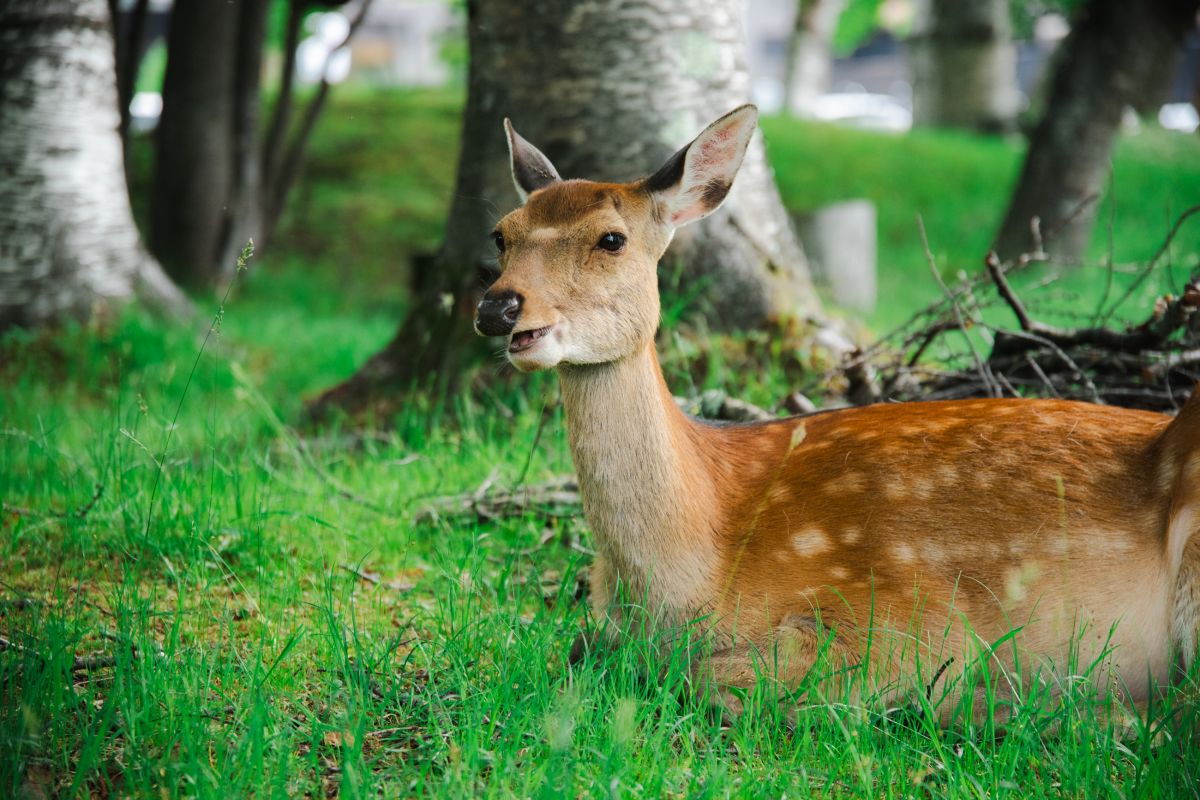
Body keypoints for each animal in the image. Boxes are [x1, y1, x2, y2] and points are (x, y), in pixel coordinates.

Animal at [470, 106, 1200, 724]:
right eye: (501, 235)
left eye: (612, 238)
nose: (499, 307)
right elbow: (581, 655)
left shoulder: (900, 611)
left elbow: (707, 679)